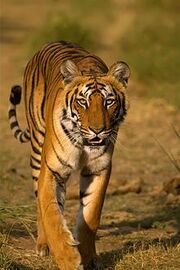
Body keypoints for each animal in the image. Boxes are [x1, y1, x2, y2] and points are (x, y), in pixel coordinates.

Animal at [8, 40, 130, 270]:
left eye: (109, 101)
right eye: (83, 102)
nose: (97, 130)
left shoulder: (98, 169)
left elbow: (91, 215)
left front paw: (87, 256)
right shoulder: (51, 170)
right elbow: (51, 214)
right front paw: (68, 258)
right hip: (37, 149)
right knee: (40, 204)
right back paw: (43, 245)